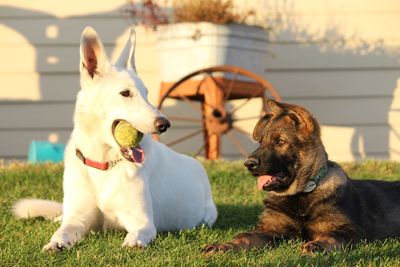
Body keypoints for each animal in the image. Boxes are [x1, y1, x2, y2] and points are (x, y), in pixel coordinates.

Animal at [12, 26, 217, 252]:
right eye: (125, 93)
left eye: (146, 94)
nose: (164, 124)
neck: (103, 165)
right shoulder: (77, 218)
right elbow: (63, 231)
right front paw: (55, 243)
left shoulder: (142, 222)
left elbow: (137, 235)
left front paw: (132, 243)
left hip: (208, 216)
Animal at [205, 99, 400, 254]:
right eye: (260, 142)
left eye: (280, 141)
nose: (248, 164)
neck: (301, 194)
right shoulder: (268, 229)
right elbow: (244, 236)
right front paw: (223, 246)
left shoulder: (348, 231)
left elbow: (331, 237)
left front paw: (317, 245)